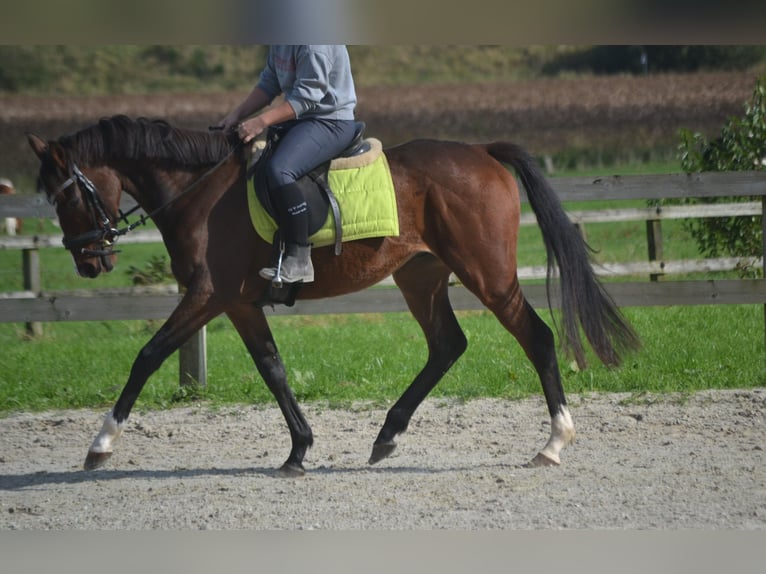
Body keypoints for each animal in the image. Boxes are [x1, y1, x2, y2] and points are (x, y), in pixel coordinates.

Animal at [27, 116, 640, 476]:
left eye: (66, 198)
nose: (88, 261)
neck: (199, 194)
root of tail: (482, 151)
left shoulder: (208, 294)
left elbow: (147, 355)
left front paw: (100, 445)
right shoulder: (240, 303)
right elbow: (272, 368)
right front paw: (299, 449)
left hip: (486, 273)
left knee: (536, 336)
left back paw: (553, 443)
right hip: (420, 276)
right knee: (447, 345)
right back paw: (387, 436)